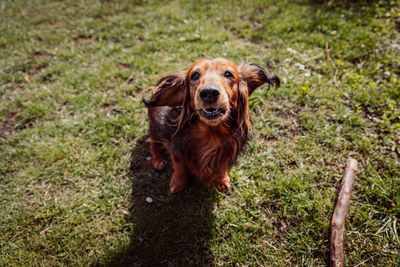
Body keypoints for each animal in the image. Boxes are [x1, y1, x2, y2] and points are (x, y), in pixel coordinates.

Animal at [143, 57, 278, 194]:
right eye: (195, 75)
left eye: (228, 74)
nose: (209, 92)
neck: (212, 134)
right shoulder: (175, 148)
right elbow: (179, 167)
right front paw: (177, 184)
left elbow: (222, 167)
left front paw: (222, 180)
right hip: (155, 129)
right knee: (153, 144)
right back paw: (158, 161)